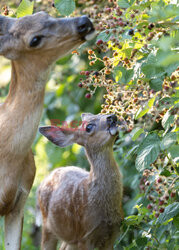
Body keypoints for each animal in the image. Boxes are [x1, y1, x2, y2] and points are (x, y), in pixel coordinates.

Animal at [38, 114, 124, 250]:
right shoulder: (85, 235)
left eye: (101, 114)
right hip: (47, 225)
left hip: (70, 238)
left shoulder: (113, 233)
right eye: (88, 127)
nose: (112, 116)